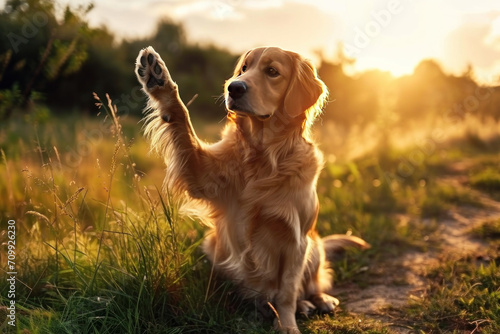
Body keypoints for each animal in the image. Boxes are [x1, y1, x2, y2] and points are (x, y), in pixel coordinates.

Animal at [135, 45, 370, 332]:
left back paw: (317, 300)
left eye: (272, 71)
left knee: (312, 283)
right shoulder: (204, 175)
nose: (234, 88)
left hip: (314, 245)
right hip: (213, 245)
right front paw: (158, 79)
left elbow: (287, 291)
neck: (263, 156)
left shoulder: (296, 239)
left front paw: (287, 324)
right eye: (244, 69)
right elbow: (183, 122)